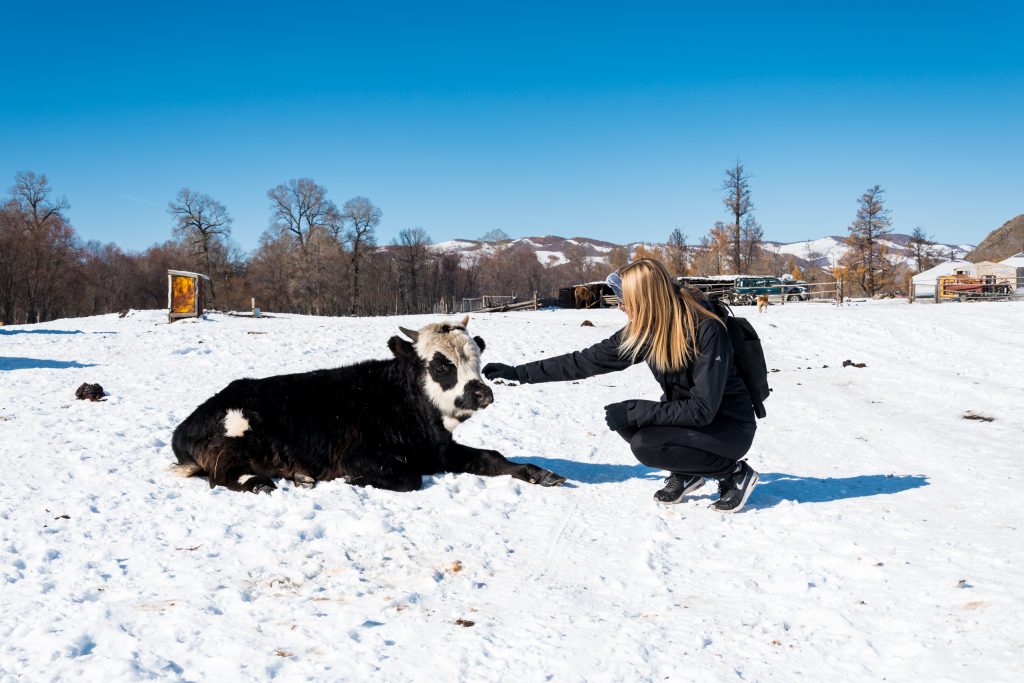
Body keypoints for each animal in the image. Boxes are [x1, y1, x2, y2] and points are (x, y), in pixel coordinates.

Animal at [169, 317, 569, 493]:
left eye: (477, 359)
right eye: (441, 365)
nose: (483, 393)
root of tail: (184, 427)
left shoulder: (439, 451)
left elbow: (492, 458)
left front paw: (538, 473)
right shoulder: (359, 454)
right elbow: (407, 478)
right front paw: (355, 479)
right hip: (235, 428)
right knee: (221, 475)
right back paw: (259, 482)